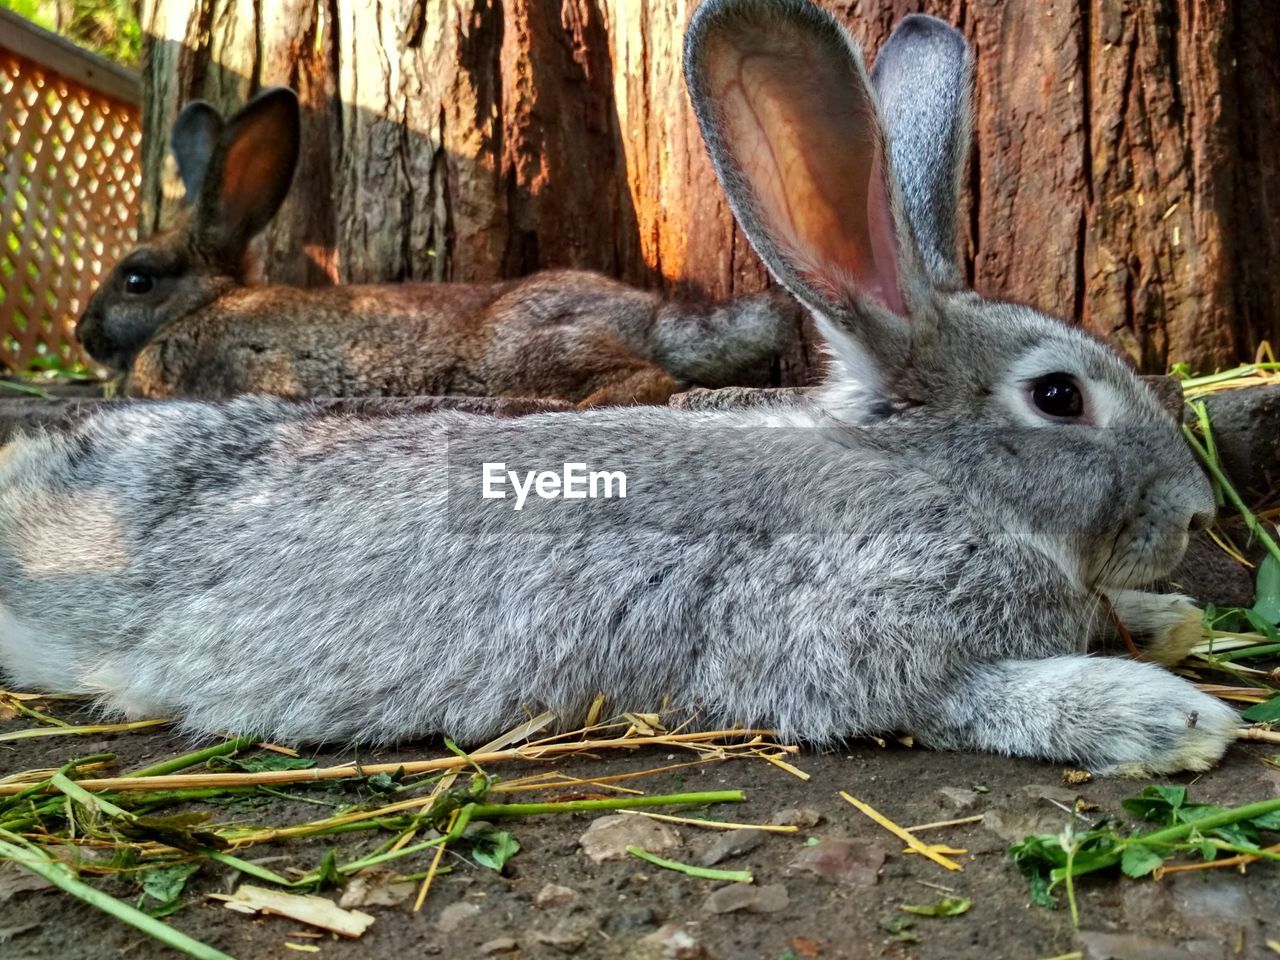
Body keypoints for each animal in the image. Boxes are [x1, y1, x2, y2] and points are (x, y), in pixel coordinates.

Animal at [77, 84, 798, 407]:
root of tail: (649, 317)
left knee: (648, 380)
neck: (200, 307)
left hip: (526, 355)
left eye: (137, 280)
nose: (83, 336)